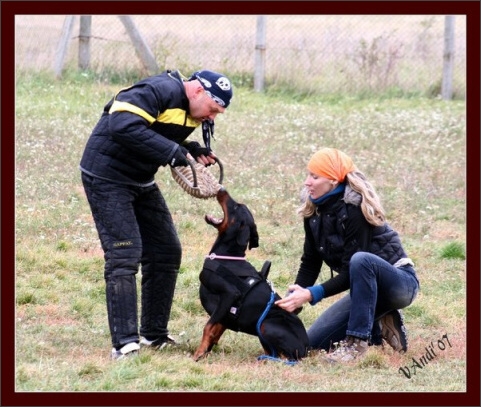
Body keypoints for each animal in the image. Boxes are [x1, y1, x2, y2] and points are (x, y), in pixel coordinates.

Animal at [193, 188, 310, 364]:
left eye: (236, 207)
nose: (221, 189)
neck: (228, 256)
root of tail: (306, 350)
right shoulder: (226, 314)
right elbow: (215, 332)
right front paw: (205, 352)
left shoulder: (229, 294)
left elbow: (208, 327)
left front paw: (198, 354)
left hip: (266, 324)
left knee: (284, 357)